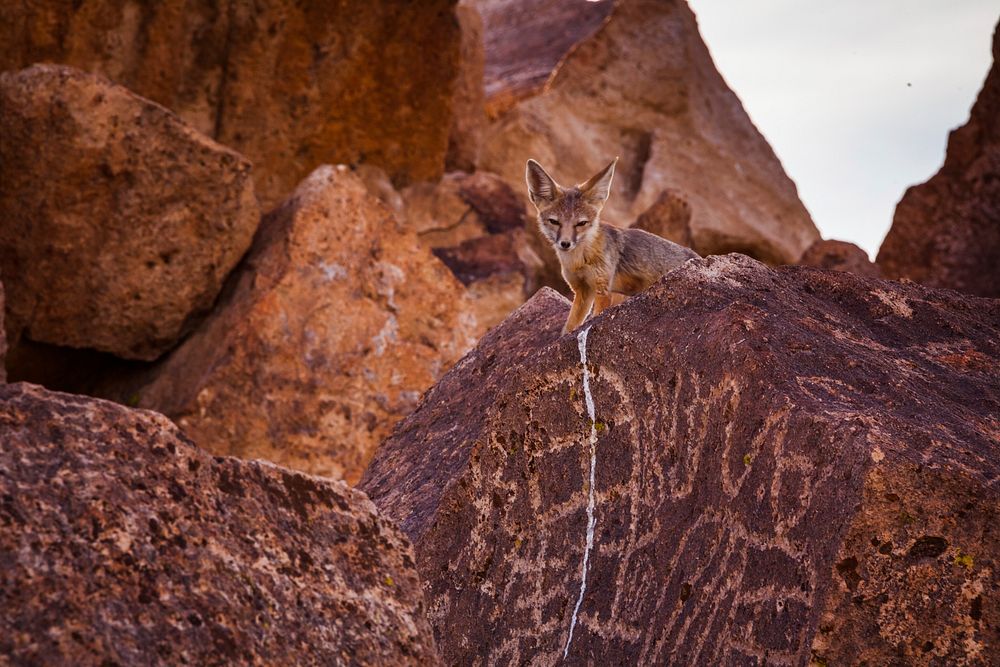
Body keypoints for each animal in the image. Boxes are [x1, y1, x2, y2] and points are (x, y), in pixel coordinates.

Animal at [528, 157, 700, 334]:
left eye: (581, 223)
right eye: (554, 222)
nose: (565, 243)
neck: (579, 260)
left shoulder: (603, 289)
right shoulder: (582, 290)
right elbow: (569, 326)